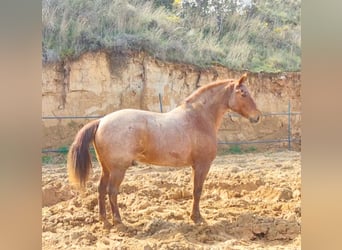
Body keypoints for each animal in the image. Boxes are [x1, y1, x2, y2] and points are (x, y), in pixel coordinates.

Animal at [67, 73, 260, 228]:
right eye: (243, 93)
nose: (257, 116)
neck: (198, 118)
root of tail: (101, 121)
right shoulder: (202, 165)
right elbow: (197, 190)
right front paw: (197, 218)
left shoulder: (195, 166)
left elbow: (194, 190)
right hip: (118, 170)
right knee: (112, 191)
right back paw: (119, 221)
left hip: (106, 168)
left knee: (101, 189)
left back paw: (105, 221)